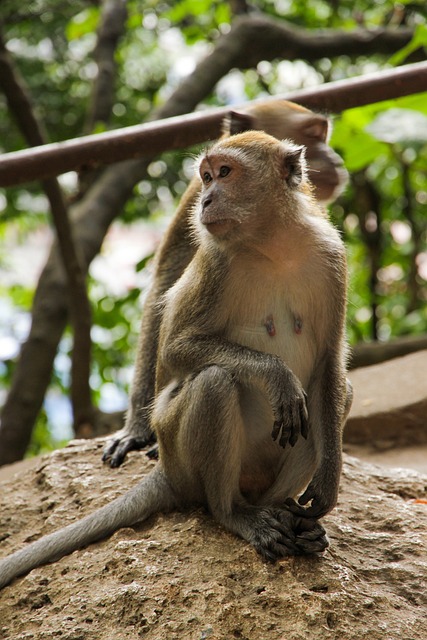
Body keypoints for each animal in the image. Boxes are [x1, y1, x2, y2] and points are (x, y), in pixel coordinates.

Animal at [102, 99, 350, 464]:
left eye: (322, 135)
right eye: (313, 135)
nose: (332, 156)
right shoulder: (195, 200)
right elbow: (167, 284)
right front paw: (136, 429)